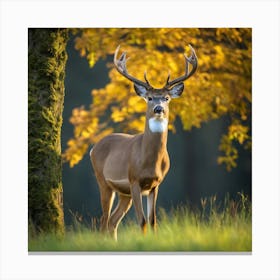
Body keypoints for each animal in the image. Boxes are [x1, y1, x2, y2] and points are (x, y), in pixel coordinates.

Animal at [89, 44, 197, 240]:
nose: (159, 109)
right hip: (103, 181)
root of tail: (93, 148)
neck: (149, 162)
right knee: (103, 220)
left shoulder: (155, 184)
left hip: (124, 193)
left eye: (167, 98)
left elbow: (153, 221)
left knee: (112, 221)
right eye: (150, 98)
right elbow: (142, 221)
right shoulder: (134, 180)